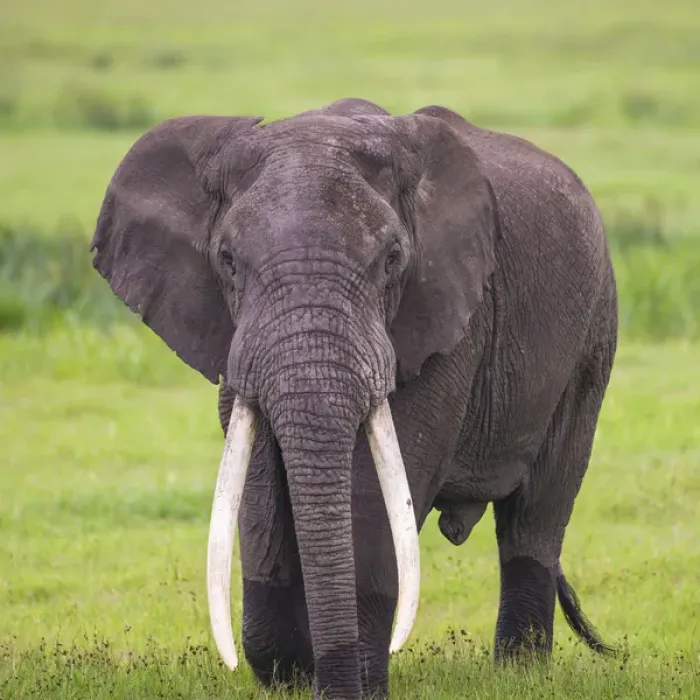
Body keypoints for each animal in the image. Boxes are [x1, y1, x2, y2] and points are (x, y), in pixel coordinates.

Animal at [90, 97, 617, 699]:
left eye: (391, 259)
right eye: (226, 260)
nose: (331, 679)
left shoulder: (447, 320)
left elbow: (379, 490)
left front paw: (354, 685)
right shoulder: (231, 337)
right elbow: (259, 483)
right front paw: (292, 678)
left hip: (592, 337)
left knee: (538, 512)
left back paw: (519, 675)